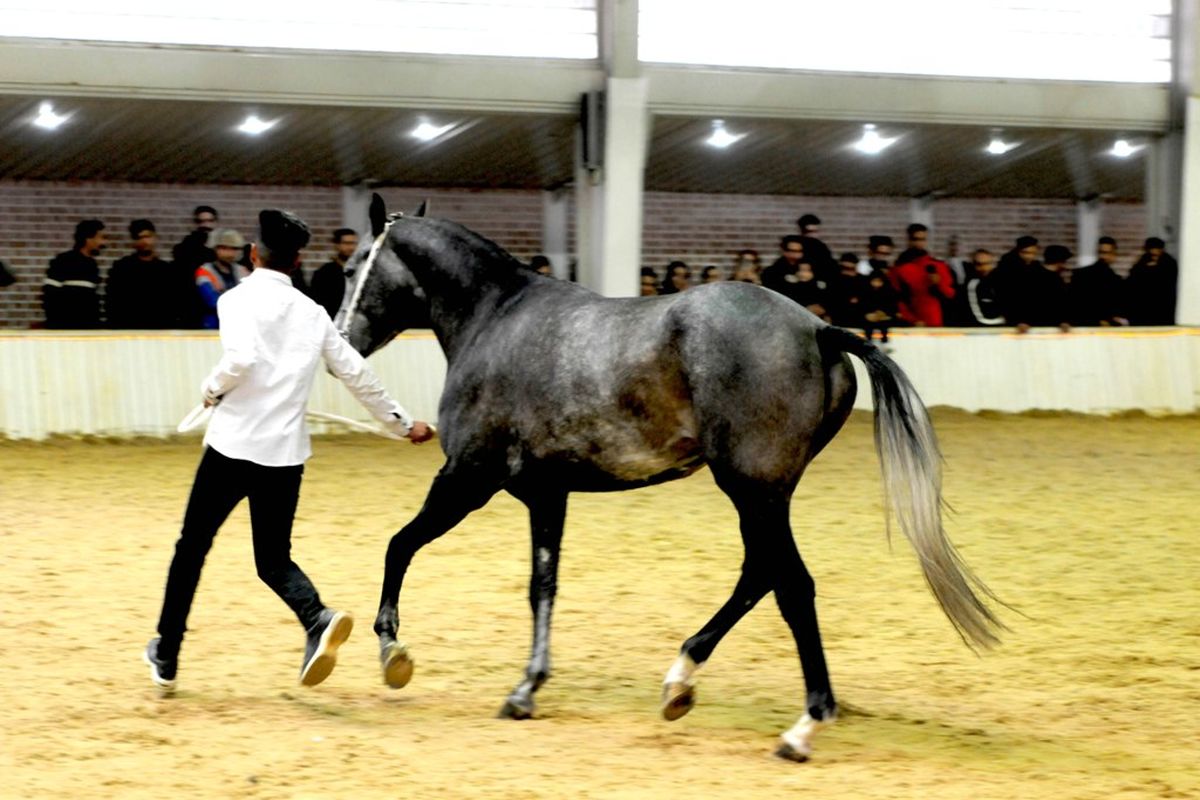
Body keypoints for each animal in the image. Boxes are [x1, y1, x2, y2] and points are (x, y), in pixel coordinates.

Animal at [333, 195, 998, 762]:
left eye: (352, 265)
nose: (340, 339)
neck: (495, 319)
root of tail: (818, 329)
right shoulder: (545, 494)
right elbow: (541, 587)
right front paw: (526, 689)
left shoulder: (469, 477)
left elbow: (399, 545)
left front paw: (392, 650)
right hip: (764, 494)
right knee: (759, 575)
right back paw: (680, 682)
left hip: (752, 490)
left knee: (790, 586)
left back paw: (802, 726)